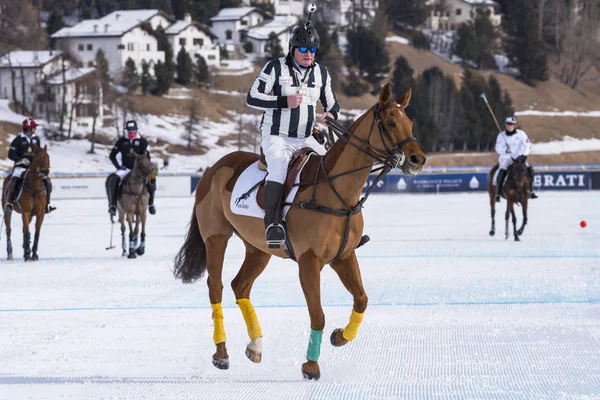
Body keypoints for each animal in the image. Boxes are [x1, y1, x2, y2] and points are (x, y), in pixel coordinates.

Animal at [172, 85, 426, 382]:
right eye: (390, 122)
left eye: (410, 123)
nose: (418, 160)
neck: (337, 193)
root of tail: (212, 169)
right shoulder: (309, 261)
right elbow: (317, 314)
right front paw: (311, 366)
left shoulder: (344, 256)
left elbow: (361, 299)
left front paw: (340, 336)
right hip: (216, 238)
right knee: (216, 287)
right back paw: (221, 353)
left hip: (258, 248)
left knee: (240, 285)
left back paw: (255, 345)